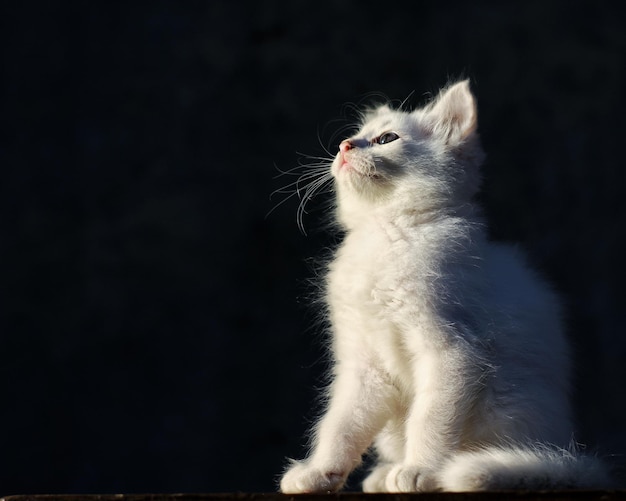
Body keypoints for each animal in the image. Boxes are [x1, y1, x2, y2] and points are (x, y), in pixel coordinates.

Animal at [278, 80, 608, 490]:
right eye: (354, 136)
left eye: (386, 138)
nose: (344, 146)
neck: (386, 234)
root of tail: (564, 449)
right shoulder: (363, 364)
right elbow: (341, 424)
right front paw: (320, 472)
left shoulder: (453, 349)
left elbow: (430, 419)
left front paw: (420, 470)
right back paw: (382, 474)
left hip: (506, 399)